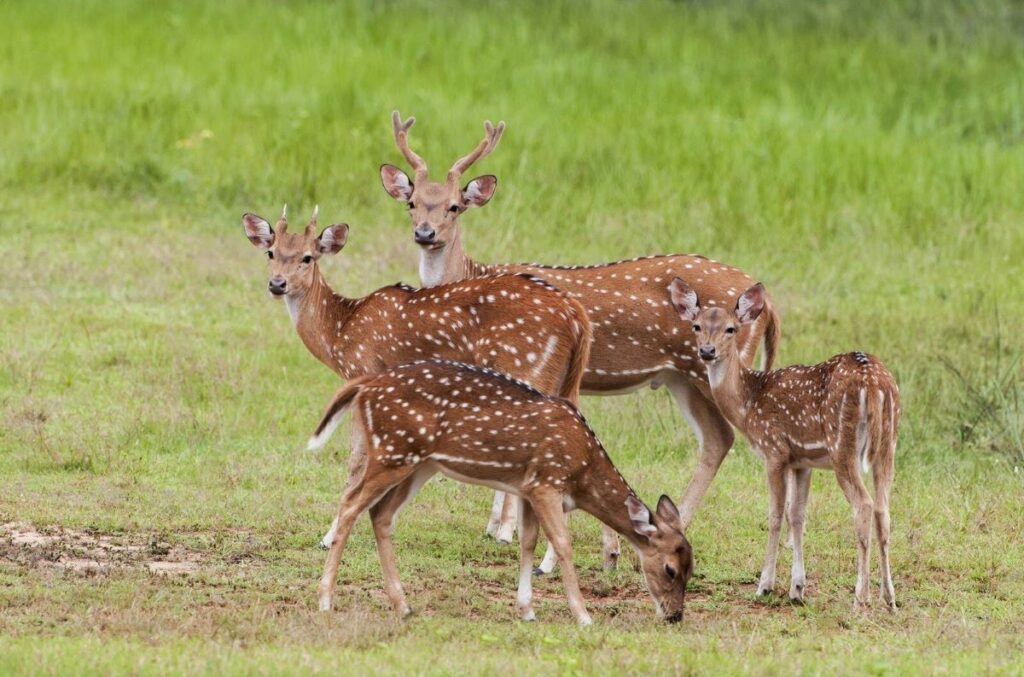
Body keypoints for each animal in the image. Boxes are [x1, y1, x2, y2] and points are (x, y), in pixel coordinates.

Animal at [239, 204, 598, 548]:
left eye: (307, 257)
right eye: (270, 252)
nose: (277, 284)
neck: (341, 332)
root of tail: (575, 315)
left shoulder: (363, 372)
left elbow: (356, 460)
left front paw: (329, 536)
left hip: (527, 366)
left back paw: (506, 534)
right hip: (562, 380)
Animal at [303, 362, 688, 626]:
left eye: (692, 566)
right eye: (670, 569)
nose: (675, 616)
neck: (583, 469)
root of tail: (366, 385)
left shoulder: (527, 487)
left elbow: (527, 542)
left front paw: (527, 610)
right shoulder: (547, 482)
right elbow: (563, 544)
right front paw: (583, 616)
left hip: (418, 464)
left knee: (380, 514)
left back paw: (403, 604)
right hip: (392, 451)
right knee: (350, 504)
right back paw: (325, 600)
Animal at [380, 112, 778, 569]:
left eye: (454, 206)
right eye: (412, 203)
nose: (426, 233)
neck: (471, 276)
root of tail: (768, 302)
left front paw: (505, 531)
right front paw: (500, 527)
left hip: (713, 365)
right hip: (681, 377)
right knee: (717, 439)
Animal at [663, 278, 897, 606]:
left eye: (731, 328)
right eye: (696, 326)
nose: (707, 351)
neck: (749, 404)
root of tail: (873, 384)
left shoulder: (774, 450)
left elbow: (774, 516)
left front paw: (765, 585)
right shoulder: (802, 461)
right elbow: (797, 516)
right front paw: (797, 589)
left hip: (843, 446)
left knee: (863, 506)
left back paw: (860, 599)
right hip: (888, 445)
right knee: (883, 510)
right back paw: (889, 598)